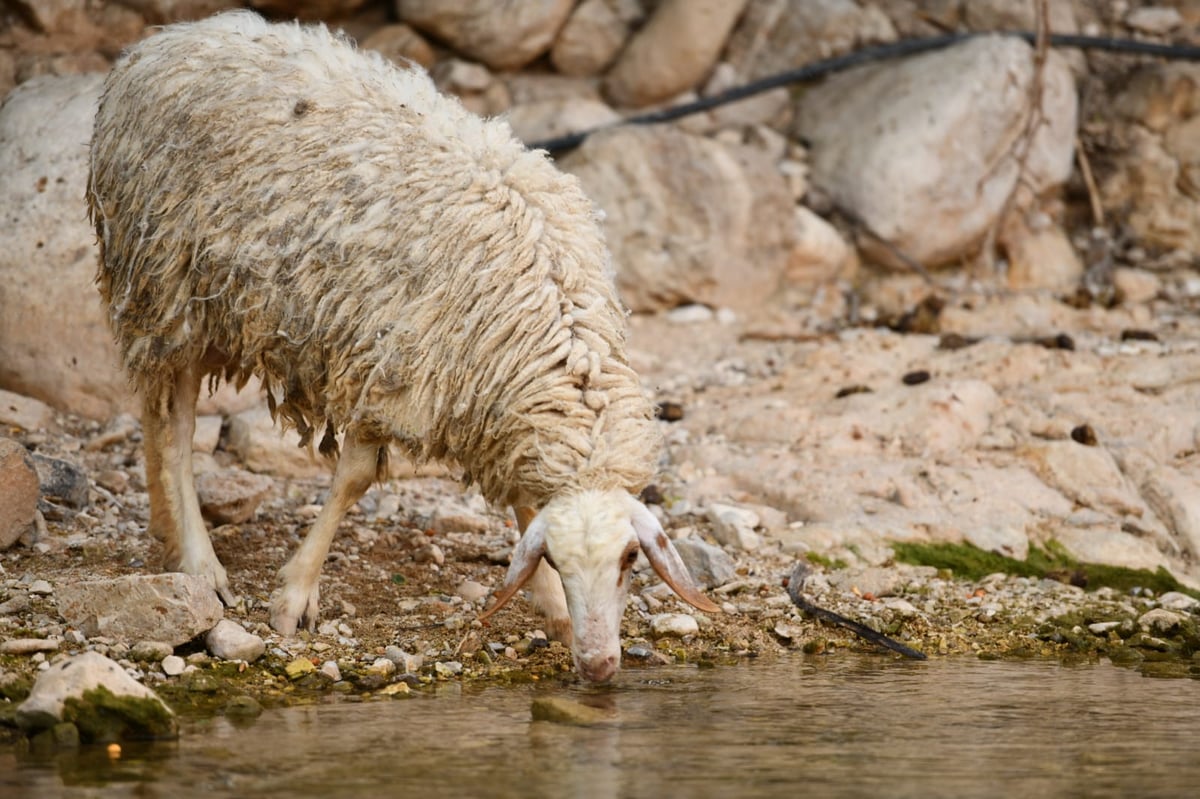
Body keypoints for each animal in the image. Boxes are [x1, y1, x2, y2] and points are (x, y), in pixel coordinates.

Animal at [87, 9, 720, 681]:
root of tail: (171, 38)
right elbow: (354, 479)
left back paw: (164, 530)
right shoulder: (388, 363)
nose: (599, 666)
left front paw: (550, 609)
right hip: (164, 280)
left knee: (153, 413)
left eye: (630, 560)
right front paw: (295, 596)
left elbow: (523, 504)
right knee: (178, 432)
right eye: (560, 559)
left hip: (184, 302)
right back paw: (199, 563)